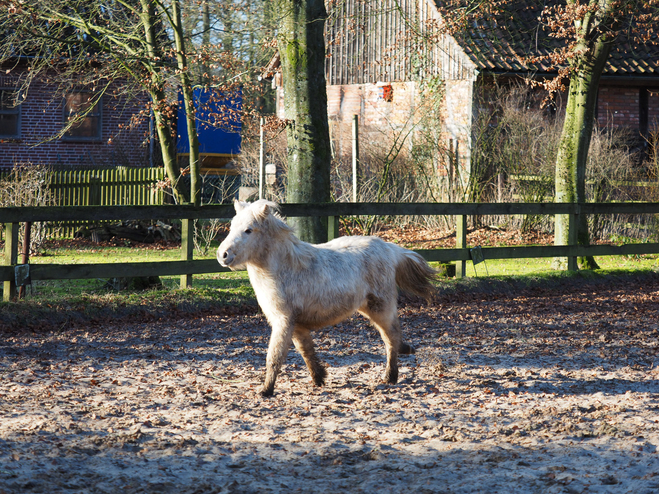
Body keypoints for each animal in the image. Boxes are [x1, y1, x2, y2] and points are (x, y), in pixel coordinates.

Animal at [218, 199, 438, 396]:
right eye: (232, 226)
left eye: (248, 230)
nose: (222, 255)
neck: (285, 269)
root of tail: (389, 249)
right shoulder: (296, 324)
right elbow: (306, 351)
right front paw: (319, 378)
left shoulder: (283, 321)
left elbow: (275, 356)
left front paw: (266, 390)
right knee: (393, 336)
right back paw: (403, 354)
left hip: (380, 308)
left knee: (390, 337)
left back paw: (391, 375)